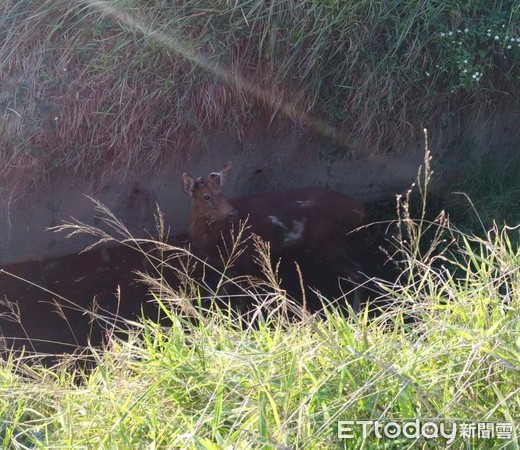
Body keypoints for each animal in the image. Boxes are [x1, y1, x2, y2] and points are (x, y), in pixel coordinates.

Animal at [182, 162, 366, 312]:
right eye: (206, 196)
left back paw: (355, 311)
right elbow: (221, 291)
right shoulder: (230, 264)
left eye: (222, 193)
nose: (233, 214)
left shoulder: (244, 257)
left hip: (327, 241)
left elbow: (240, 298)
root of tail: (359, 209)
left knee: (356, 272)